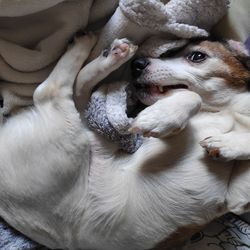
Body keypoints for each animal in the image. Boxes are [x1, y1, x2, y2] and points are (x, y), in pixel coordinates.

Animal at [0, 33, 250, 250]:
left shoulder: (237, 199)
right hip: (69, 140)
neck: (227, 111)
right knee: (55, 90)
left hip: (71, 138)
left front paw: (227, 145)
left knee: (59, 91)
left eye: (197, 56)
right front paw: (161, 116)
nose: (138, 63)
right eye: (169, 51)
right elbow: (193, 96)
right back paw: (104, 52)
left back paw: (102, 50)